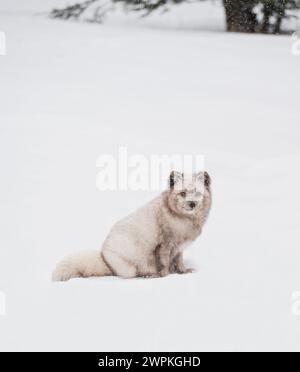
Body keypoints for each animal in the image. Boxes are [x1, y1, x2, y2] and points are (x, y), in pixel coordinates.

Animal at [52, 171, 211, 282]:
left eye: (197, 193)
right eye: (183, 193)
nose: (192, 204)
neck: (185, 221)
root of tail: (104, 257)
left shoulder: (179, 248)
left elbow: (179, 262)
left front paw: (183, 271)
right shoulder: (164, 245)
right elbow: (164, 263)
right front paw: (164, 275)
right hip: (131, 268)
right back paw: (148, 275)